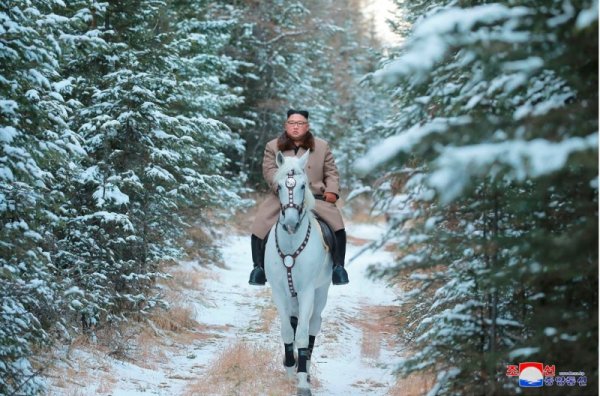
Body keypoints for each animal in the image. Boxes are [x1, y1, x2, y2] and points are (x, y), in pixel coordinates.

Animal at [264, 151, 332, 396]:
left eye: (303, 186)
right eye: (279, 186)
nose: (291, 222)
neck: (292, 243)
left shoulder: (307, 291)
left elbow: (302, 335)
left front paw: (302, 381)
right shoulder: (278, 291)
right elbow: (287, 330)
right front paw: (290, 369)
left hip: (321, 292)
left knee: (313, 325)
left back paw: (307, 368)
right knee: (293, 323)